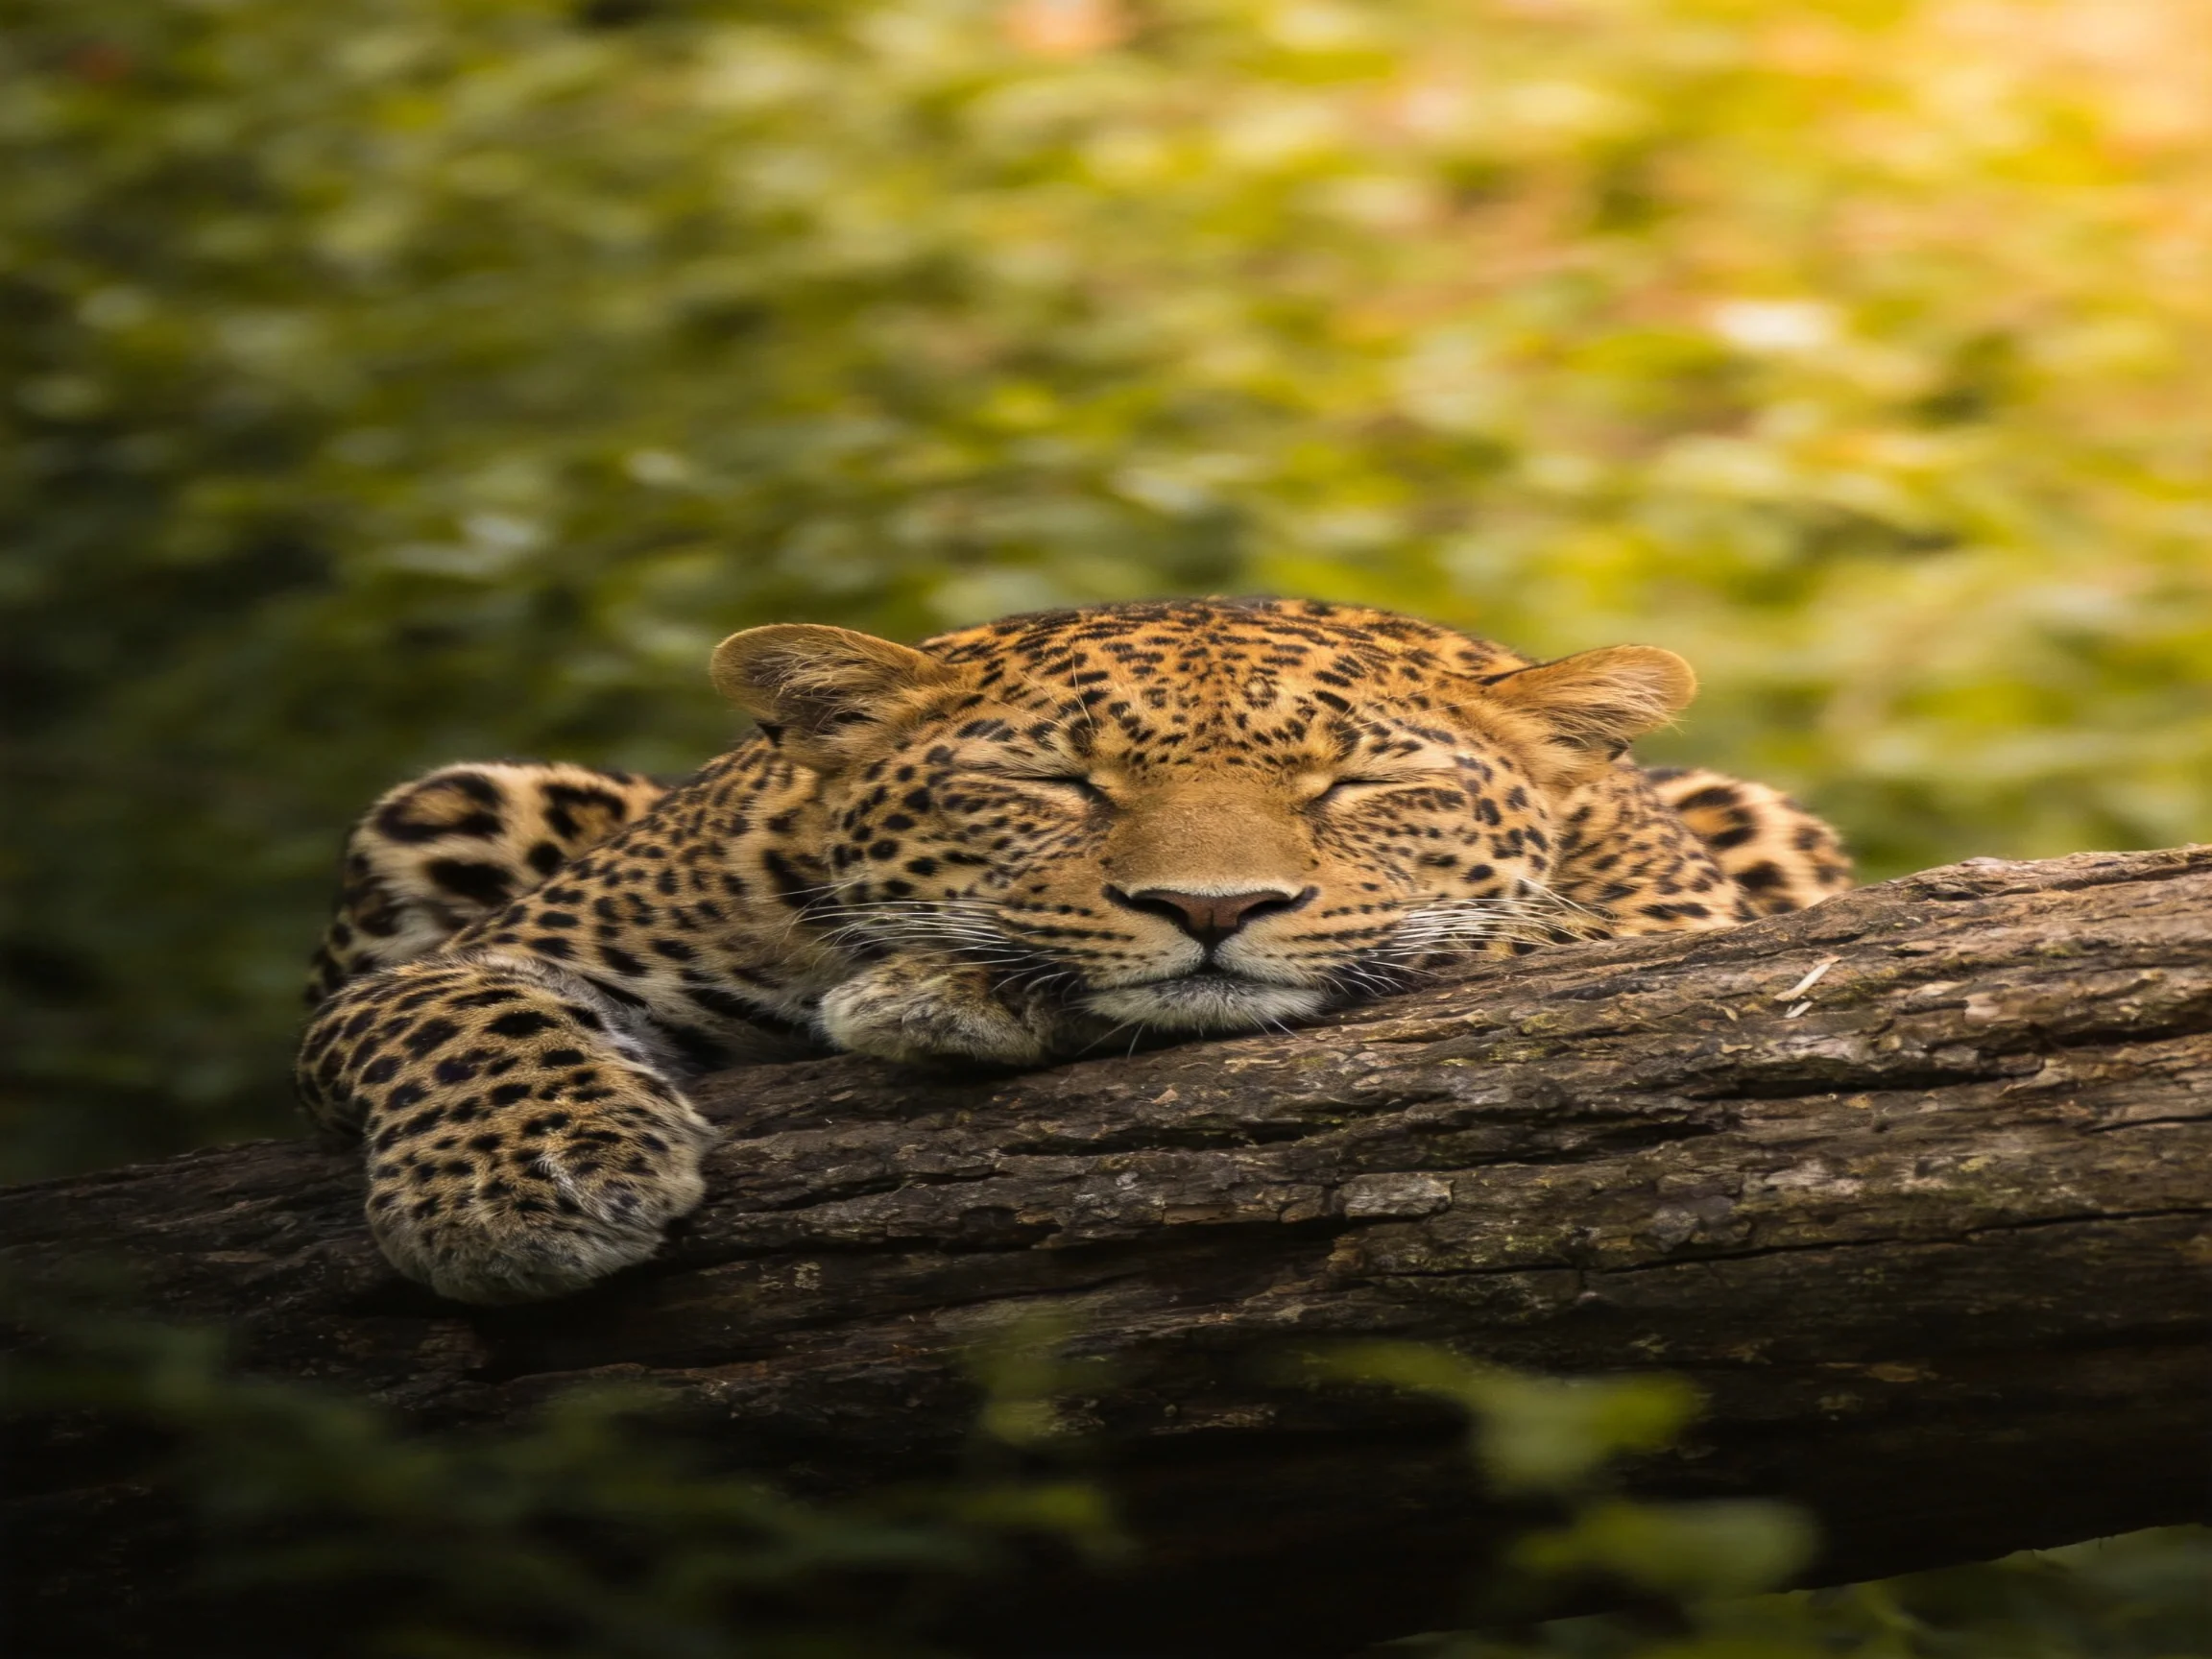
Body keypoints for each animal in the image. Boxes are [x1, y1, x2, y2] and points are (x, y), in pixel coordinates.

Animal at [297, 598, 1850, 1304]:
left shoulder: (1684, 935)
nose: (1213, 910)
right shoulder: (500, 952)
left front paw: (947, 983)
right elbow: (444, 1011)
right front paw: (510, 1192)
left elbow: (1487, 936)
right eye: (1055, 783)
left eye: (1354, 784)